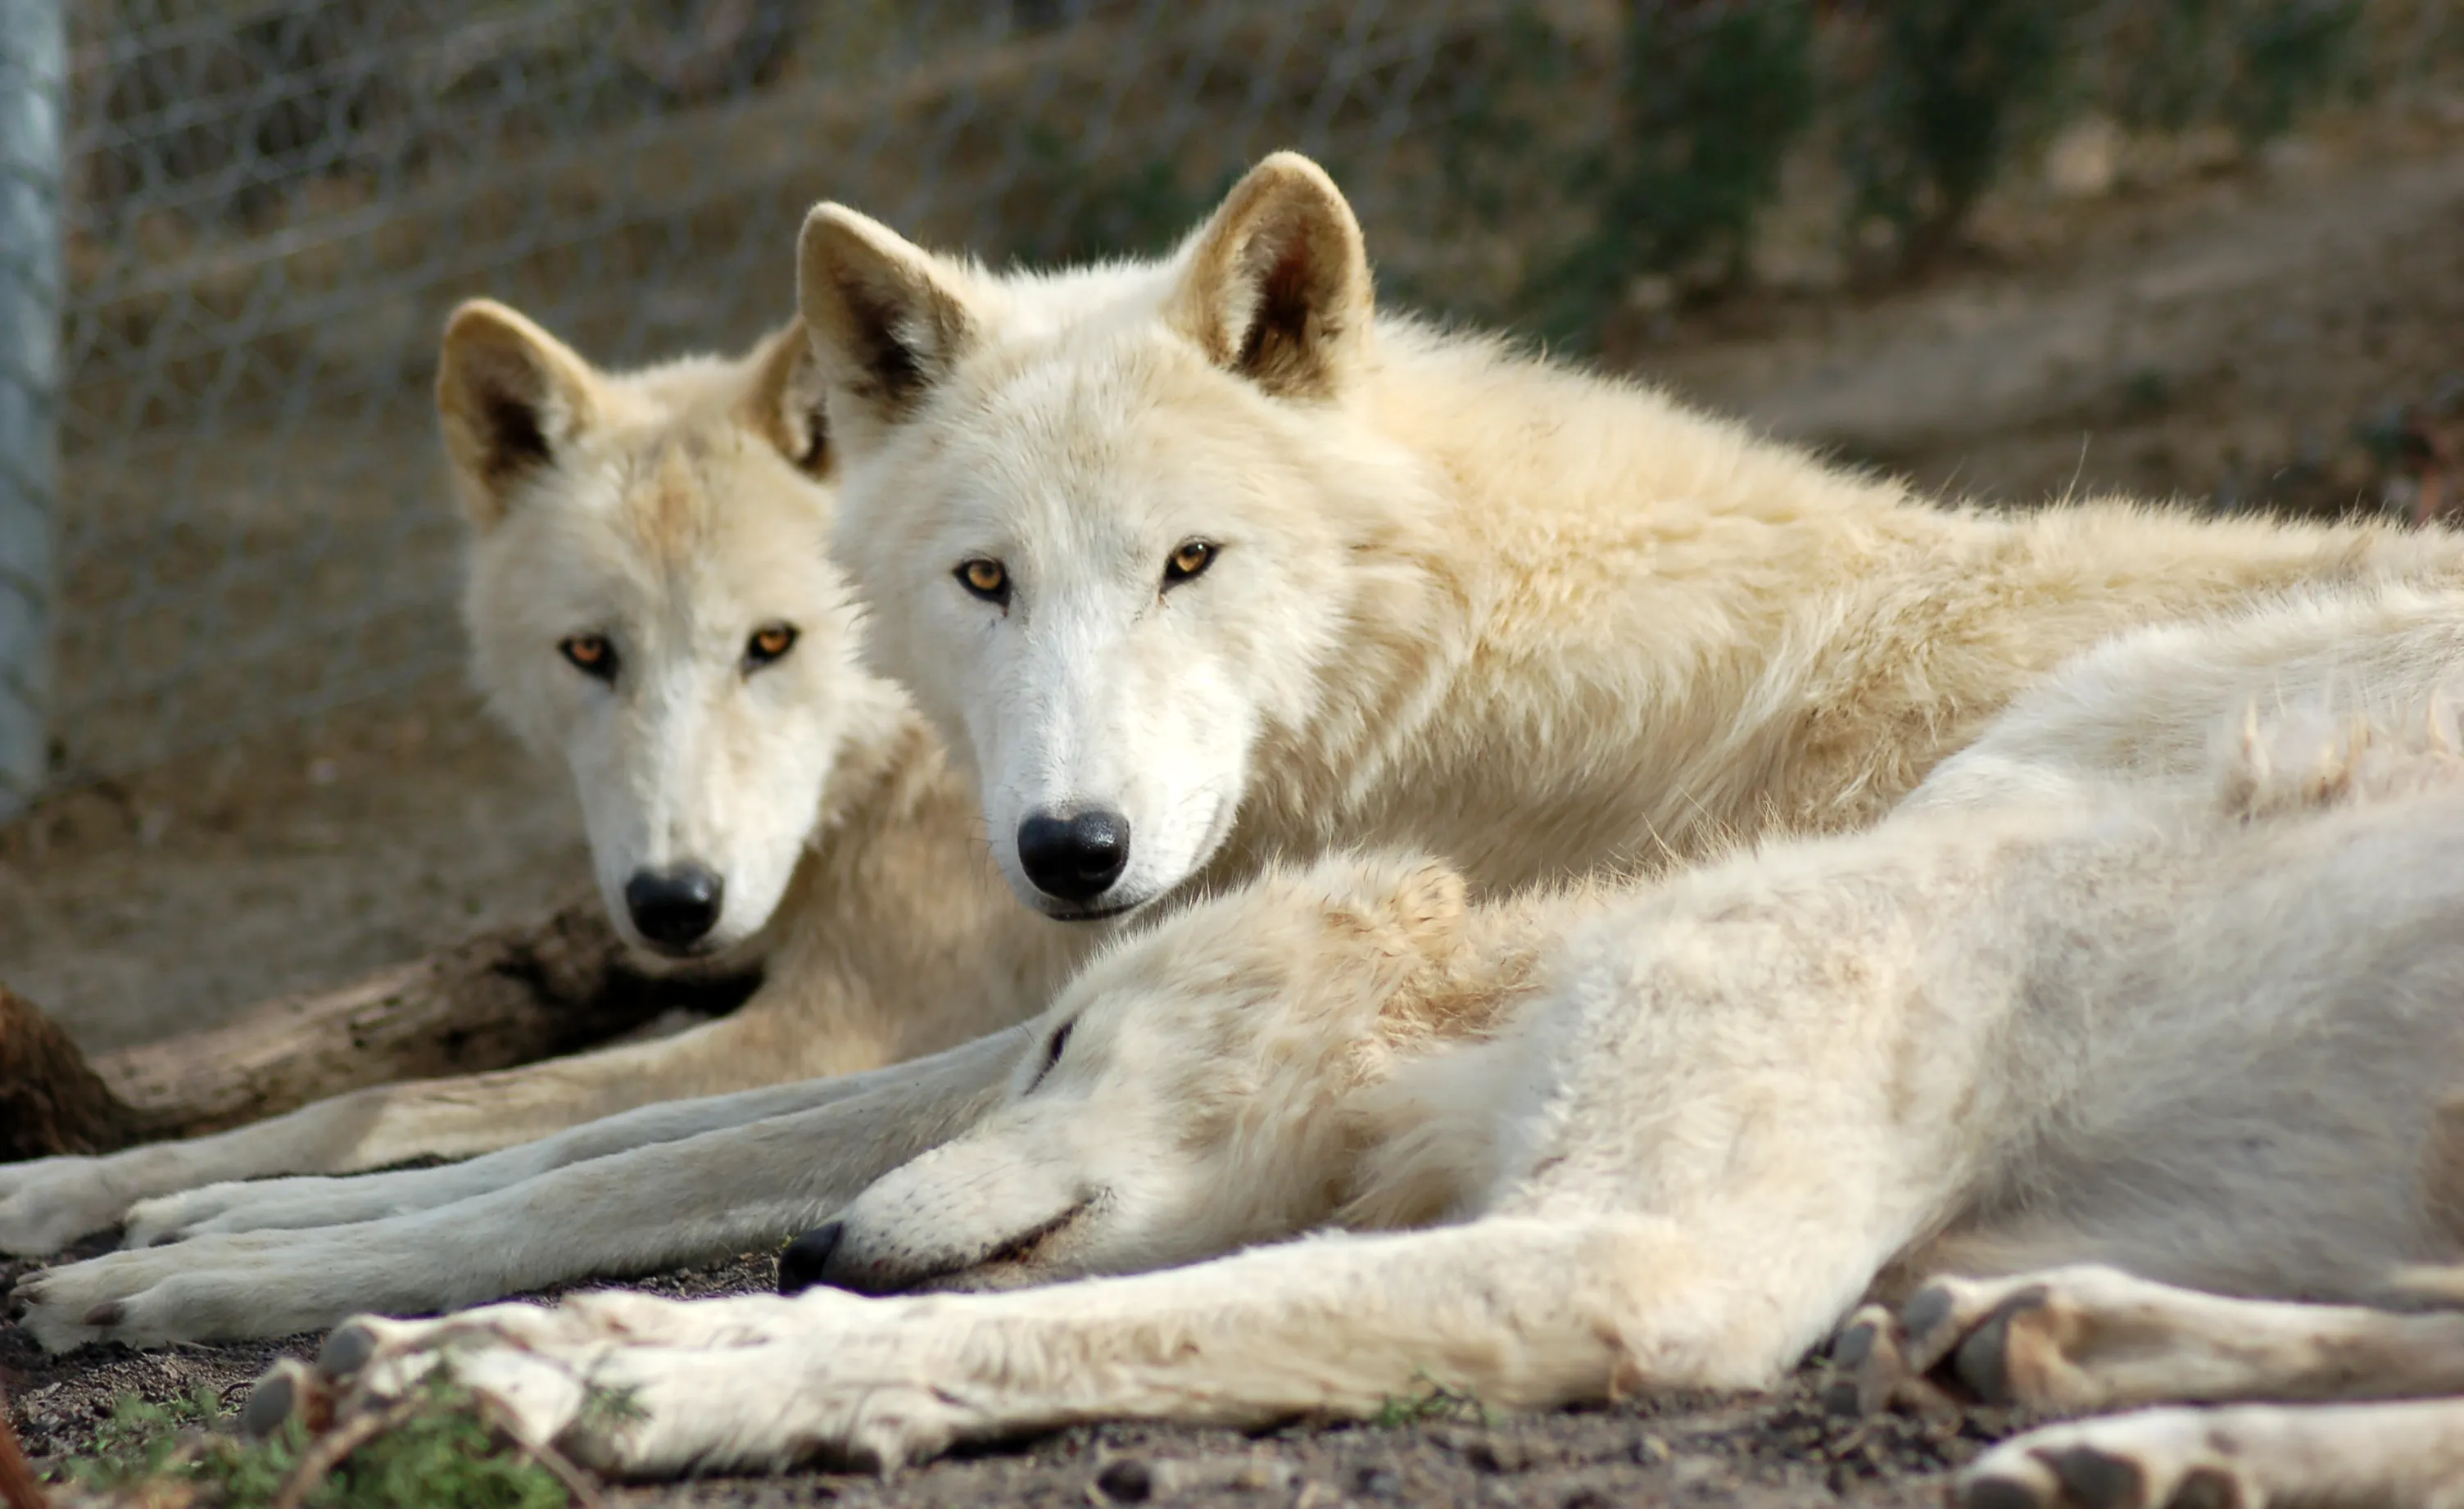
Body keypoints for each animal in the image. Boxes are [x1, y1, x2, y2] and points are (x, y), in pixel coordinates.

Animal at [0, 302, 1090, 1257]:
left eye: (772, 644)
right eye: (590, 653)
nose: (673, 905)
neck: (916, 757)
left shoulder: (832, 1029)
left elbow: (393, 1100)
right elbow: (367, 1096)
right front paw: (73, 1184)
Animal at [253, 624, 2464, 1509]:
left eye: (1060, 1039)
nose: (798, 1249)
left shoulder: (1646, 1256)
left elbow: (1081, 1324)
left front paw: (584, 1383)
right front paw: (528, 1340)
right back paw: (2083, 1376)